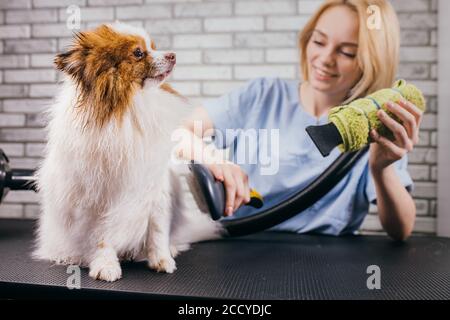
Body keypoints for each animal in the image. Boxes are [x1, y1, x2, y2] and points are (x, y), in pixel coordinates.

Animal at [34, 22, 224, 282]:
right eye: (138, 53)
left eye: (154, 46)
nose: (173, 55)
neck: (133, 106)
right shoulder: (98, 198)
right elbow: (101, 235)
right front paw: (105, 265)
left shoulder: (155, 189)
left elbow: (157, 229)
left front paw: (162, 259)